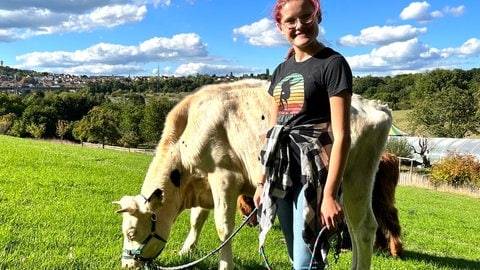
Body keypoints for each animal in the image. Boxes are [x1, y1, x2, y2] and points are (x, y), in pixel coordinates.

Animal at [114, 78, 392, 270]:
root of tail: (374, 105)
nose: (126, 264)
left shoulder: (224, 177)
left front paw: (224, 265)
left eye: (131, 233)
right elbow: (197, 219)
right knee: (354, 228)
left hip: (357, 177)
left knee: (364, 228)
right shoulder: (205, 182)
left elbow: (223, 229)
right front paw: (186, 251)